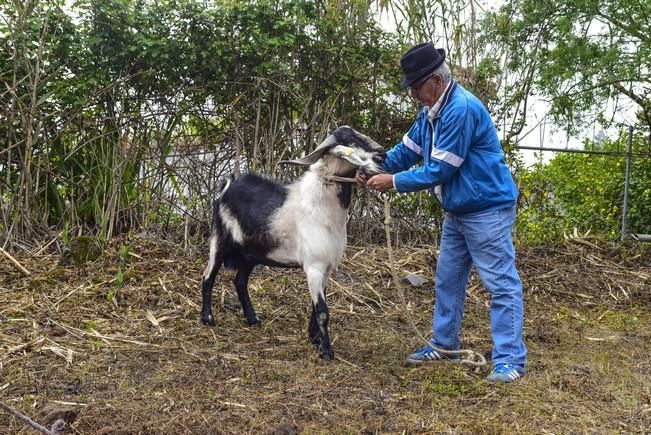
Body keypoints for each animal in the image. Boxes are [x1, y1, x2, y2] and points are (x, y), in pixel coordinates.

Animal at [196, 127, 384, 362]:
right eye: (348, 141)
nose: (382, 156)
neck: (322, 208)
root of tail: (228, 184)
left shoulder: (326, 267)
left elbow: (316, 307)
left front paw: (314, 339)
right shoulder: (314, 266)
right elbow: (322, 311)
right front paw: (326, 351)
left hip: (251, 252)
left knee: (240, 281)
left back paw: (252, 318)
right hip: (220, 241)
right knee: (208, 277)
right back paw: (208, 318)